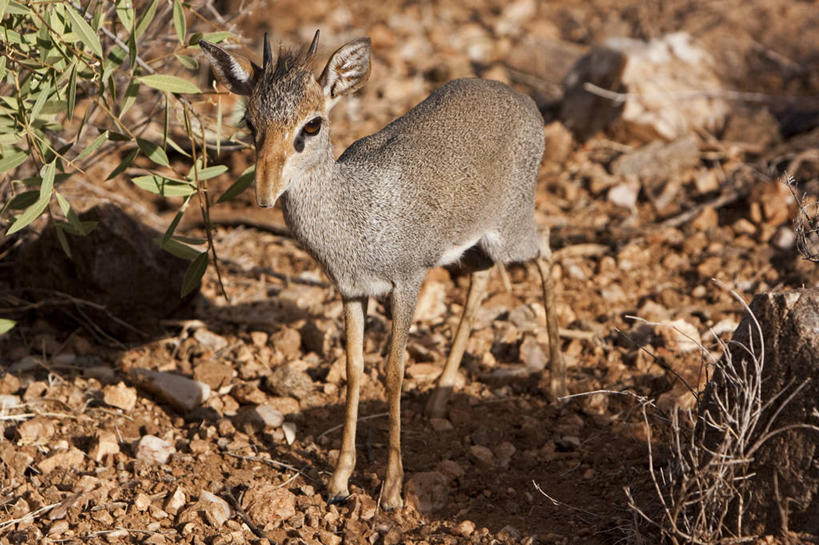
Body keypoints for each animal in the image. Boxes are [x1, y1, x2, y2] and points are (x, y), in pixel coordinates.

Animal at [202, 31, 568, 508]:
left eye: (312, 125)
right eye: (249, 122)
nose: (264, 194)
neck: (355, 212)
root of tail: (524, 99)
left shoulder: (407, 282)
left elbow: (393, 371)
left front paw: (392, 488)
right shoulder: (352, 291)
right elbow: (354, 368)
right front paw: (339, 481)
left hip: (511, 231)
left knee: (547, 253)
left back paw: (557, 384)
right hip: (478, 244)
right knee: (483, 278)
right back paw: (439, 400)